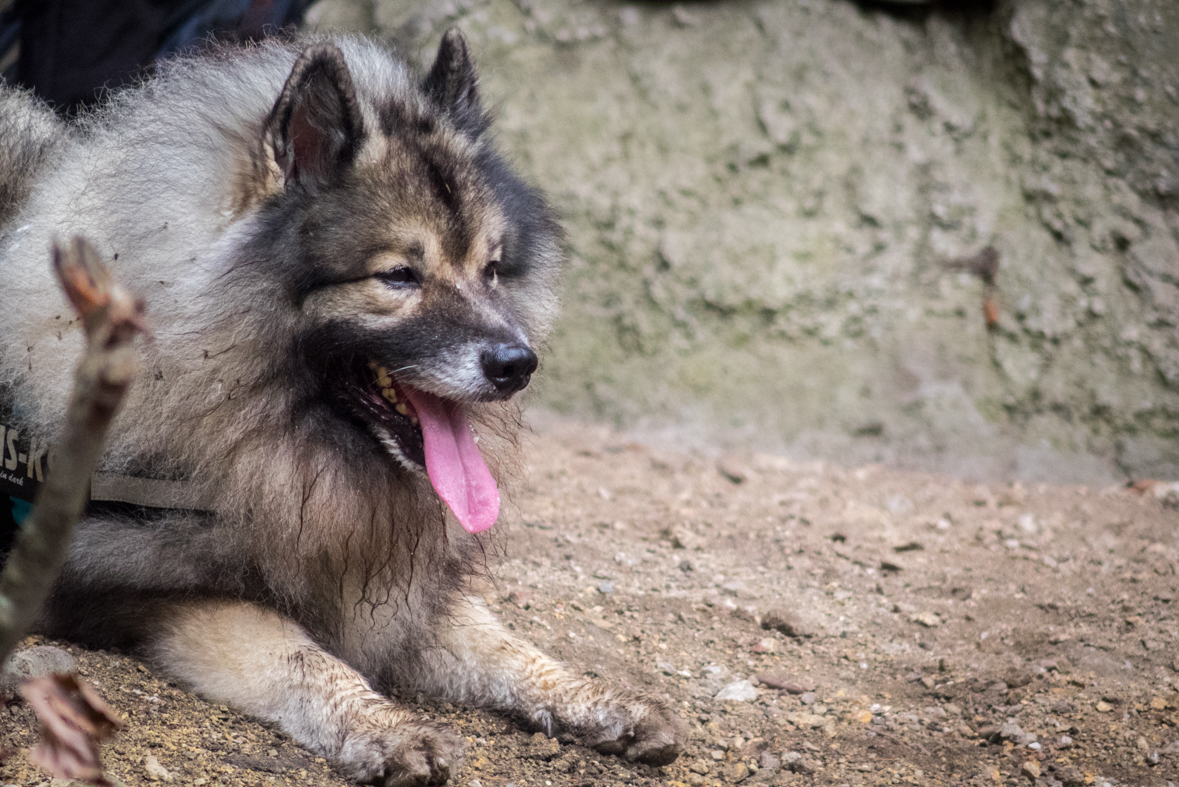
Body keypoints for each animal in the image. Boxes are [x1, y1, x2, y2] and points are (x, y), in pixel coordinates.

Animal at [0, 29, 688, 782]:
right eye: (398, 276)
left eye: (491, 269)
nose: (517, 365)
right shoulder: (150, 588)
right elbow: (300, 657)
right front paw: (386, 729)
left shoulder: (389, 581)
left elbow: (501, 642)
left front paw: (596, 699)